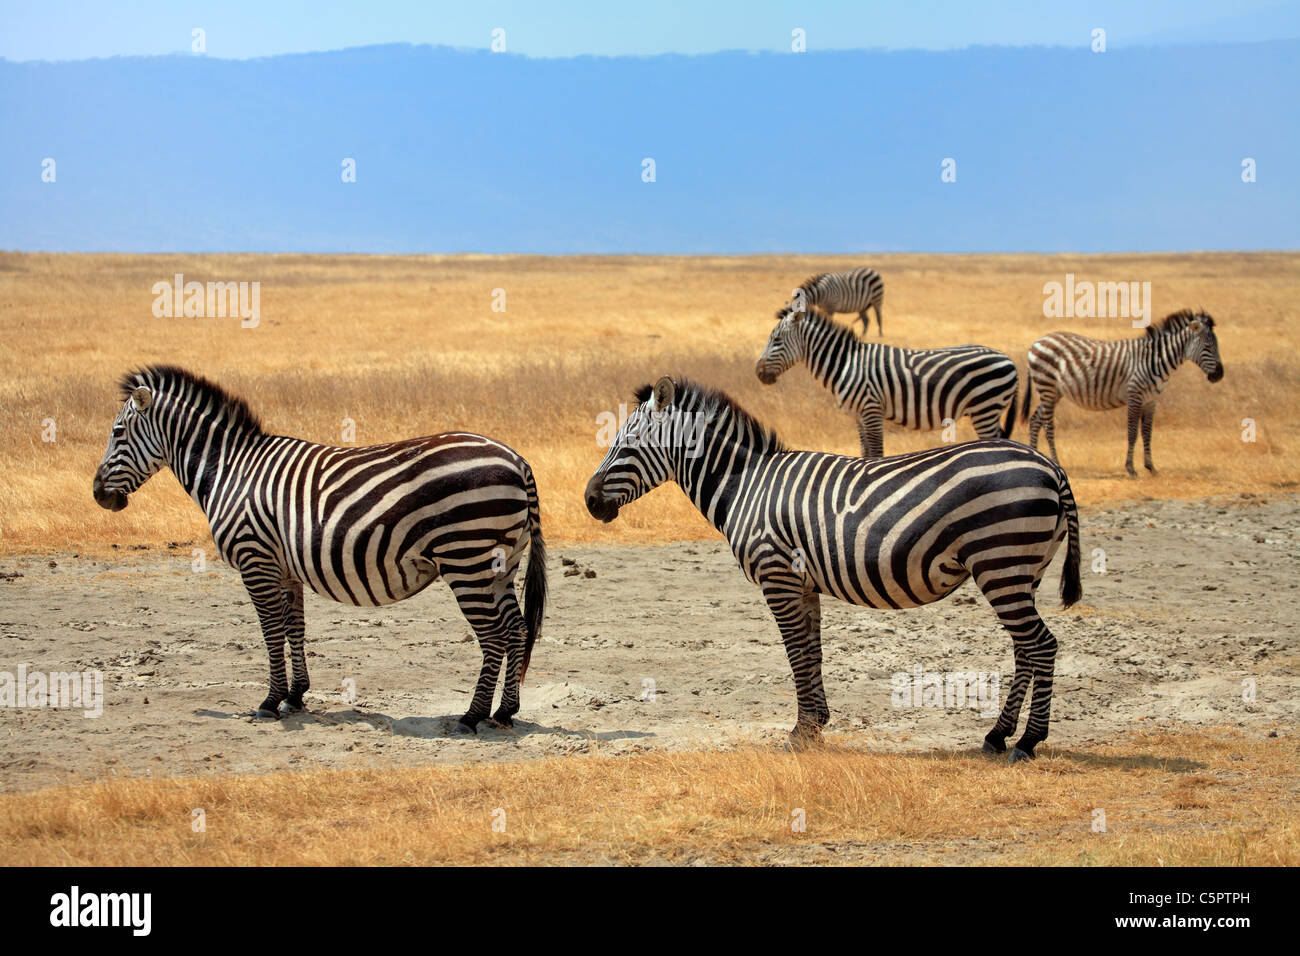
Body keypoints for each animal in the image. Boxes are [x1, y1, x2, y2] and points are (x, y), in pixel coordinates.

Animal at [91, 366, 546, 733]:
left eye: (117, 433)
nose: (98, 495)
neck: (231, 471)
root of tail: (518, 460)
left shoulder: (255, 559)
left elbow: (270, 631)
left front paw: (269, 701)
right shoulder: (285, 568)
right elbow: (294, 628)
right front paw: (295, 695)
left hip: (466, 558)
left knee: (494, 635)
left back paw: (472, 716)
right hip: (501, 565)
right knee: (517, 628)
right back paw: (505, 712)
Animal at [585, 374, 1081, 764]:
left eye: (626, 445)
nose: (589, 501)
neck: (747, 484)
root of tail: (1051, 467)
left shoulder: (777, 577)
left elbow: (796, 654)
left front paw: (800, 733)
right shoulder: (804, 584)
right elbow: (813, 651)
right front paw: (815, 725)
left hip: (1001, 562)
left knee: (1042, 645)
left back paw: (1027, 742)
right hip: (1021, 571)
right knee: (1024, 648)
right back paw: (997, 736)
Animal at [759, 304, 1019, 457]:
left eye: (777, 340)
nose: (758, 372)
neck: (845, 363)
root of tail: (1009, 360)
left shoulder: (871, 408)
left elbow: (876, 452)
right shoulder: (859, 416)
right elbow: (865, 452)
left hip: (985, 407)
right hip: (990, 409)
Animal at [1019, 310, 1222, 478]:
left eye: (1216, 346)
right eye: (1208, 347)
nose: (1220, 375)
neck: (1154, 360)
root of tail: (1037, 342)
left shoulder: (1150, 401)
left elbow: (1147, 433)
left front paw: (1151, 467)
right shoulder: (1134, 396)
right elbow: (1132, 433)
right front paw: (1131, 469)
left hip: (1053, 392)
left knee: (1035, 420)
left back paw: (1038, 458)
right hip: (1047, 386)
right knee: (1048, 426)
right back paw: (1056, 462)